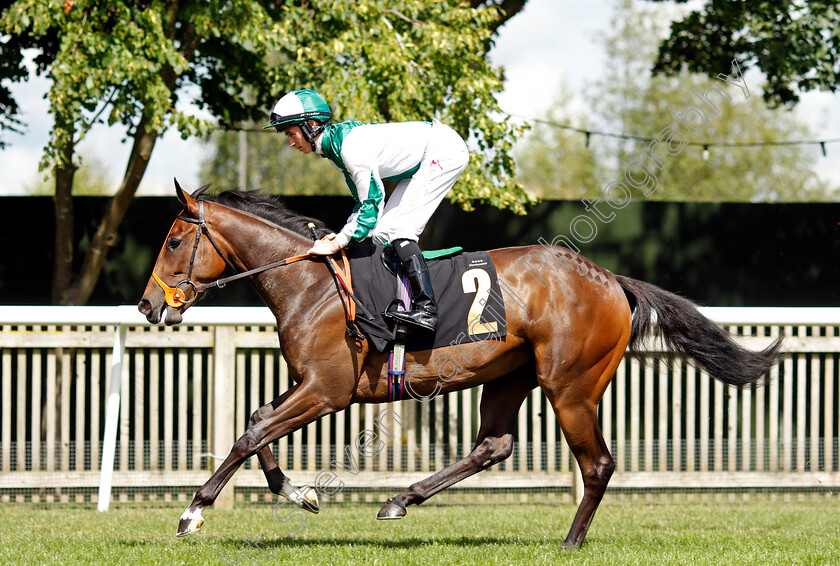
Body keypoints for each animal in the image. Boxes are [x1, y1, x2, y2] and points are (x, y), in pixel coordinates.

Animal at [136, 182, 780, 552]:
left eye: (172, 240)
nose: (146, 306)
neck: (311, 282)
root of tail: (609, 279)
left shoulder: (328, 390)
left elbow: (251, 433)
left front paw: (192, 514)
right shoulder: (309, 383)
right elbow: (257, 421)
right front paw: (297, 493)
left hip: (570, 386)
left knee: (596, 464)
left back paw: (569, 543)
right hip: (509, 375)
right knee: (493, 445)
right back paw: (402, 499)